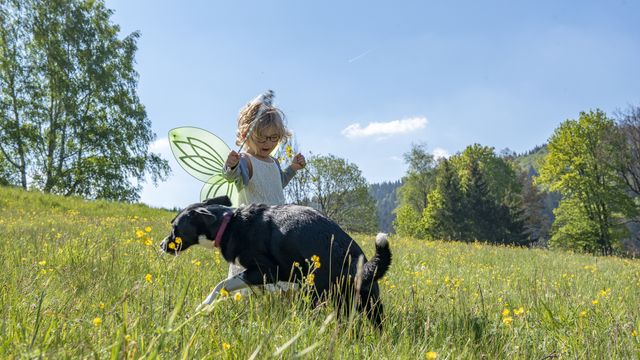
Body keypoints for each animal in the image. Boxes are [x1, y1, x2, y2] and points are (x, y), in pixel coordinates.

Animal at [160, 195, 390, 328]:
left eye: (175, 228)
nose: (161, 245)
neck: (228, 223)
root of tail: (359, 264)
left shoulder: (264, 271)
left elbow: (221, 284)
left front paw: (204, 304)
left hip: (318, 294)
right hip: (370, 303)